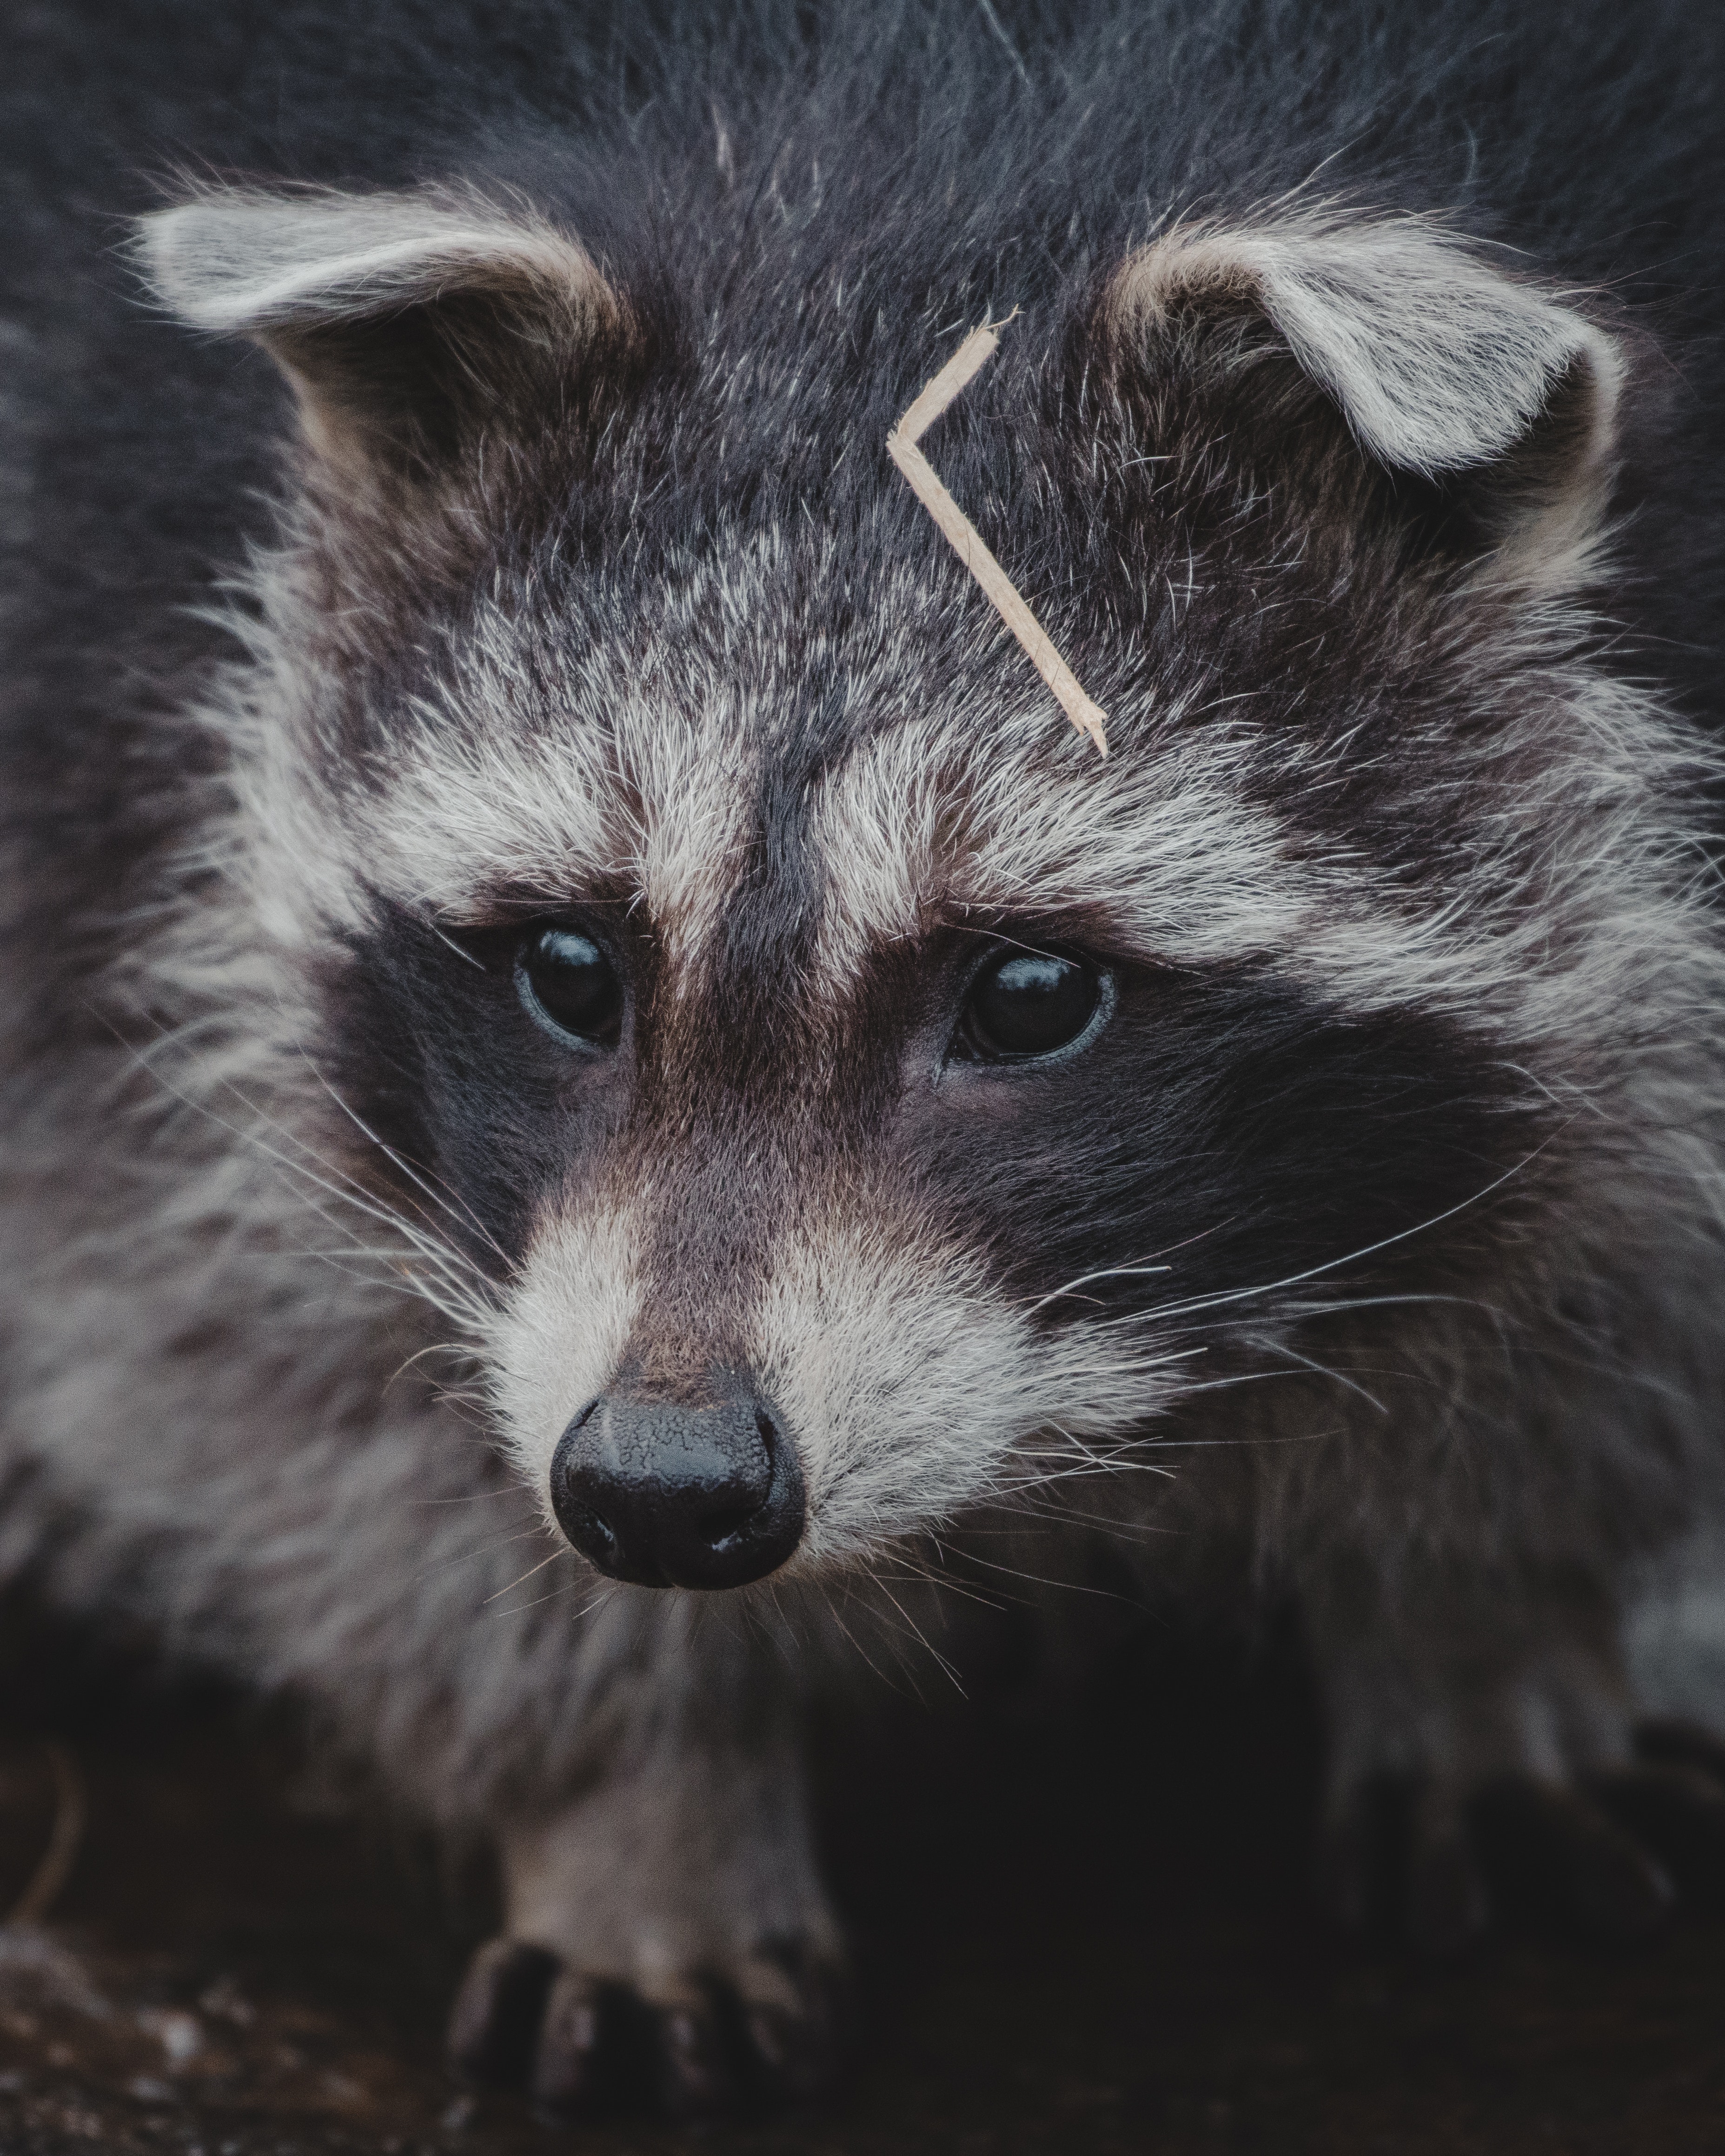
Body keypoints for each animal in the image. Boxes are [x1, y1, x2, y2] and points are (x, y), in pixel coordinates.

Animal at [6, 0, 1725, 2117]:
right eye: (570, 965)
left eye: (1028, 995)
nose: (661, 1489)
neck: (947, 135)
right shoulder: (100, 598)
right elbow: (231, 1311)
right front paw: (632, 1787)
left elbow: (1614, 1258)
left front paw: (1486, 1615)